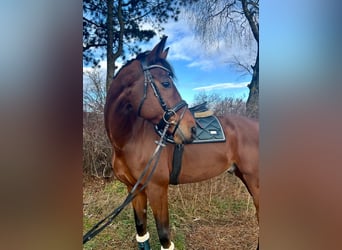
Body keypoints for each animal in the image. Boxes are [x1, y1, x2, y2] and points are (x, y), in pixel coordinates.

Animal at [104, 36, 260, 249]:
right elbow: (142, 232)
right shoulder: (133, 190)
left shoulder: (157, 189)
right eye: (165, 83)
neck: (128, 141)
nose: (192, 129)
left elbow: (164, 237)